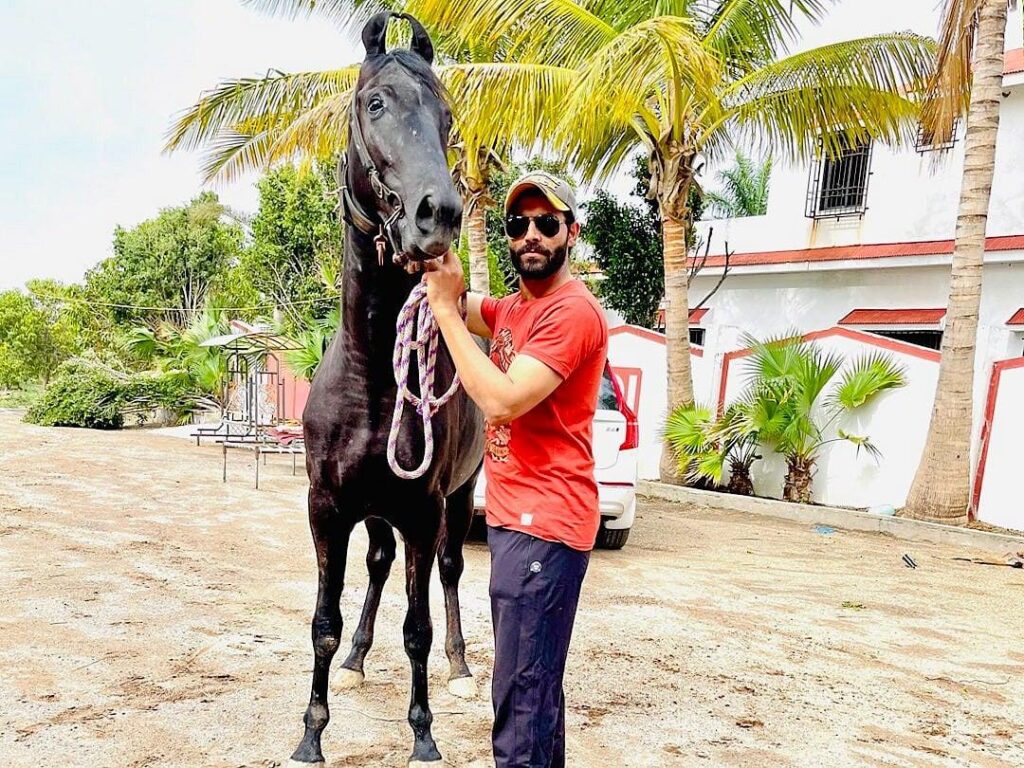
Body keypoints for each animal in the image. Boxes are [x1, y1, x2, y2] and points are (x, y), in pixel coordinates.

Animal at [289, 12, 485, 767]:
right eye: (375, 103)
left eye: (447, 119)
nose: (441, 214)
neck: (373, 379)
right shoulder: (327, 508)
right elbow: (323, 620)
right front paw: (312, 732)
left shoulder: (424, 512)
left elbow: (419, 628)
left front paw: (424, 734)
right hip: (373, 513)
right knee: (375, 567)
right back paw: (355, 657)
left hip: (459, 499)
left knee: (452, 574)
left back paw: (462, 668)